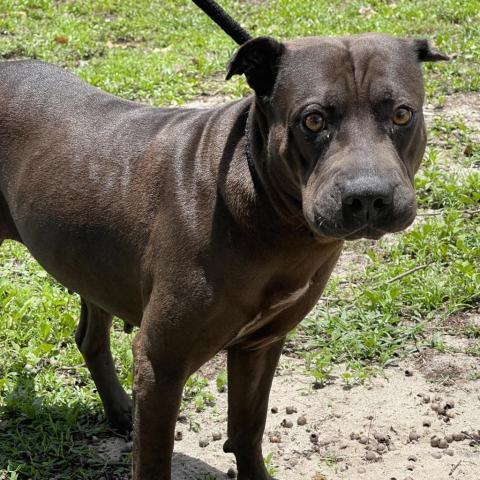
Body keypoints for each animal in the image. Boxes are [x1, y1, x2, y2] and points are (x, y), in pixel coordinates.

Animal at [0, 32, 450, 476]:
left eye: (402, 115)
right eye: (313, 120)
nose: (368, 197)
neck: (272, 214)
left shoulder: (261, 344)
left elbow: (248, 429)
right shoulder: (161, 362)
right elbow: (155, 461)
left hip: (93, 264)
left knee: (90, 337)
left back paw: (119, 411)